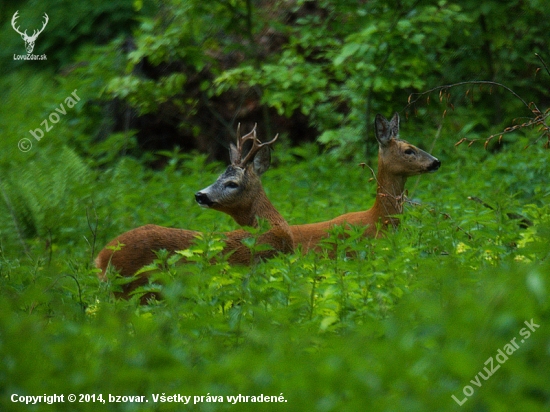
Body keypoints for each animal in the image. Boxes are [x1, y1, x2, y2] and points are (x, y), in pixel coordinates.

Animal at [96, 124, 294, 300]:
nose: (200, 195)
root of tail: (101, 258)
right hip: (136, 288)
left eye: (232, 183)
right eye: (218, 177)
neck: (276, 229)